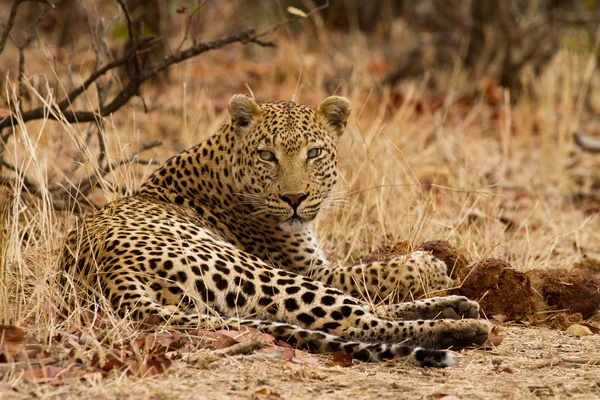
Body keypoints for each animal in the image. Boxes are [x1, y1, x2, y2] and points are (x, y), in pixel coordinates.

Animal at [61, 94, 492, 368]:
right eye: (267, 156)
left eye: (313, 153)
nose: (294, 198)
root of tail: (110, 276)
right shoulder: (311, 269)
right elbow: (373, 272)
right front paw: (429, 265)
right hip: (256, 272)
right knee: (361, 320)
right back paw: (462, 328)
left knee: (365, 312)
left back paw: (456, 306)